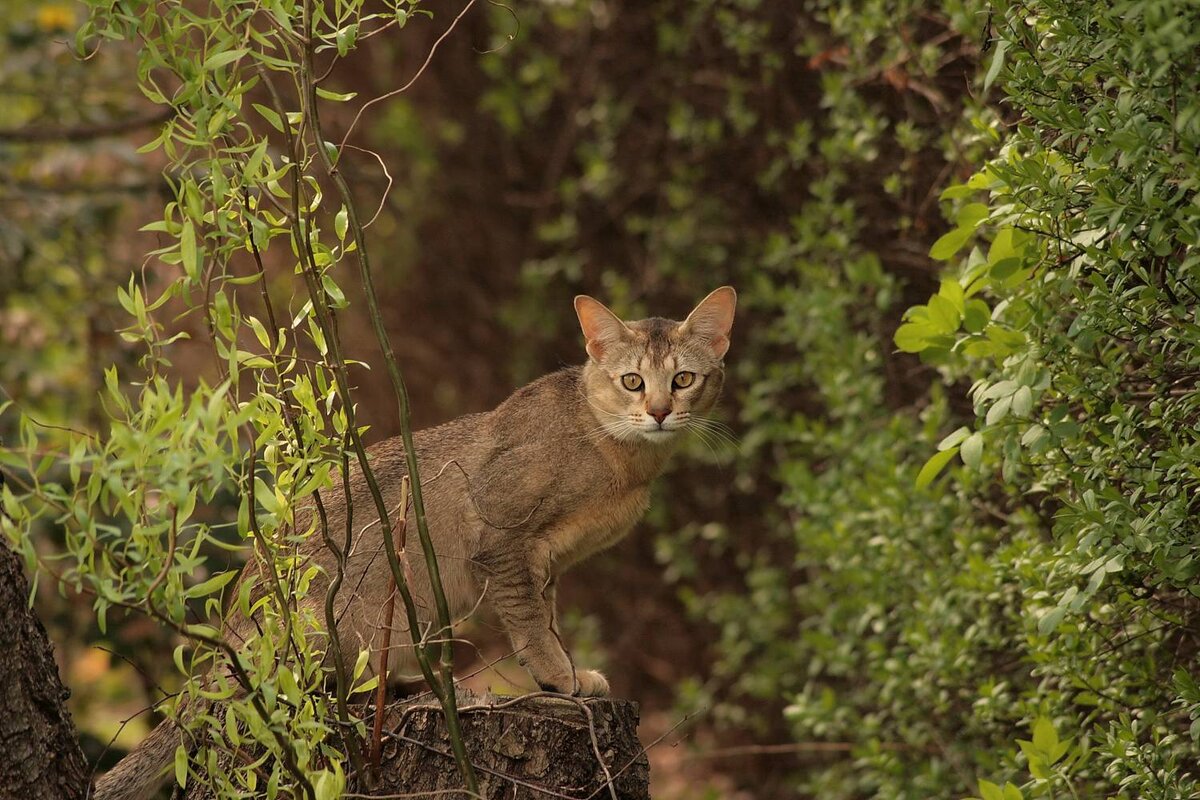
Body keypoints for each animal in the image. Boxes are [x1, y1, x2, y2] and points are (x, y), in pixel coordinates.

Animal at [96, 287, 729, 800]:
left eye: (683, 380)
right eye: (632, 381)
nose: (660, 412)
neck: (618, 454)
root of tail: (225, 637)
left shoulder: (545, 561)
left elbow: (546, 614)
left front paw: (569, 671)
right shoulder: (502, 538)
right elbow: (531, 623)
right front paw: (558, 676)